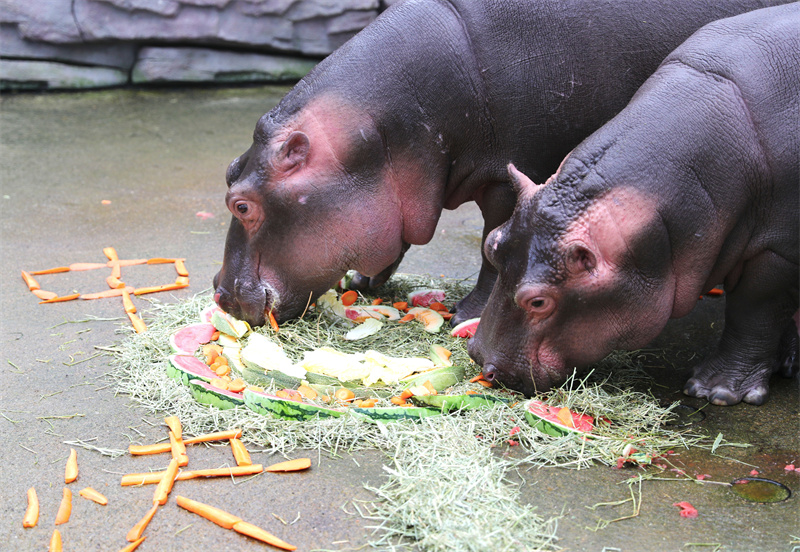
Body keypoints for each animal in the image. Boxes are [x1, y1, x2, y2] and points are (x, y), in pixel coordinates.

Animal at [211, 0, 788, 328]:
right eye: (228, 170)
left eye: (241, 204)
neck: (377, 129)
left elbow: (496, 243)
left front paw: (468, 313)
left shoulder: (517, 175)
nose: (218, 292)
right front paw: (363, 279)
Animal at [468, 3, 800, 406]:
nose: (479, 358)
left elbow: (754, 311)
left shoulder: (779, 252)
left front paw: (714, 391)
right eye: (492, 245)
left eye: (538, 302)